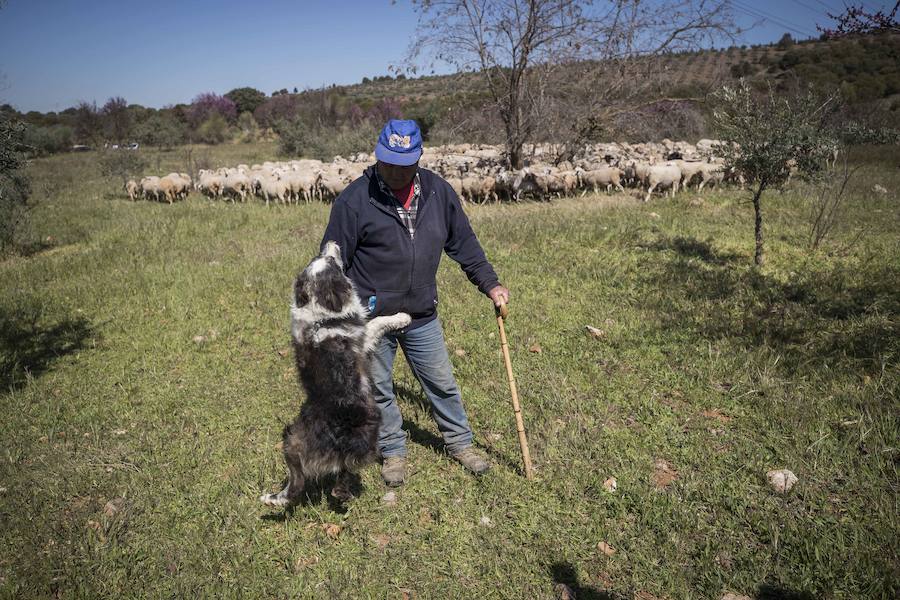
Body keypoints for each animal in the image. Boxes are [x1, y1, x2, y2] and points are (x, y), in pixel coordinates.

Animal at [258, 239, 410, 506]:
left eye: (318, 258)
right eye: (333, 264)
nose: (331, 243)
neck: (320, 312)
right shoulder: (363, 338)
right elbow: (377, 321)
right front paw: (403, 317)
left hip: (291, 438)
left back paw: (275, 498)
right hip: (368, 433)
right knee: (347, 469)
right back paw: (345, 492)